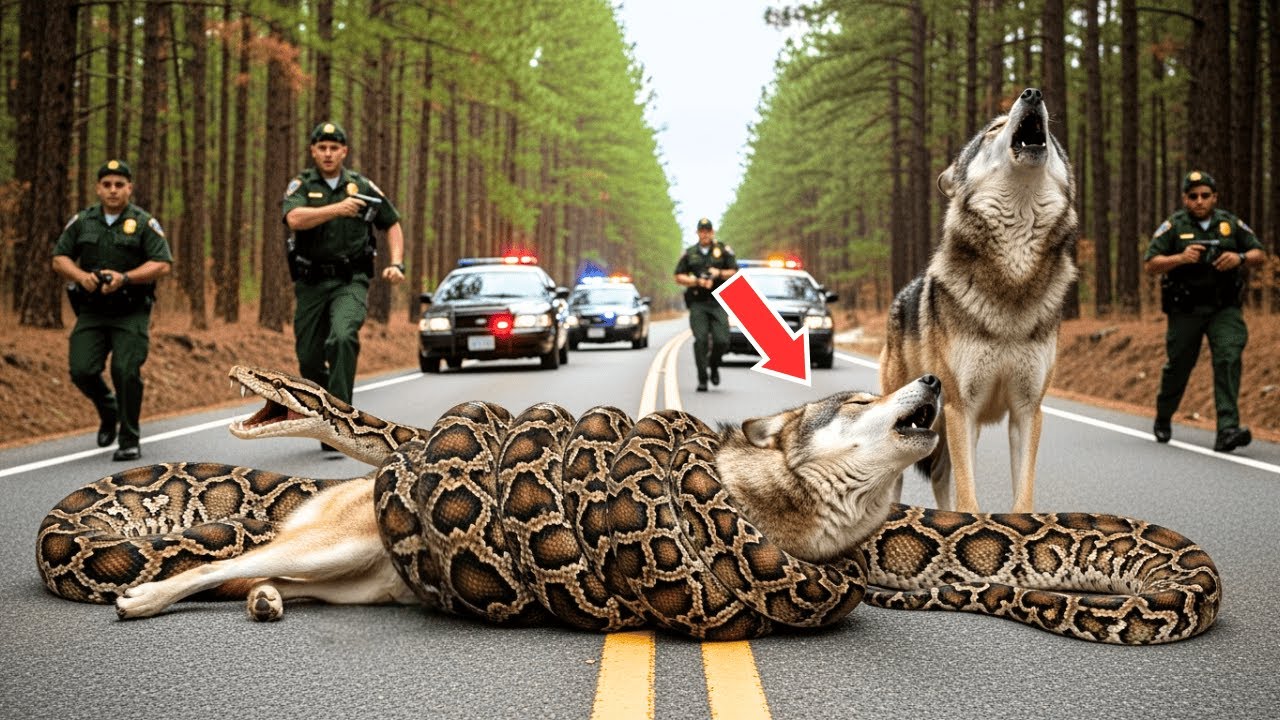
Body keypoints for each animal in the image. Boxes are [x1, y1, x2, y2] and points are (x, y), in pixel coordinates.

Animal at [113, 374, 942, 620]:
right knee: (222, 565)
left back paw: (251, 598)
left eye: (273, 382)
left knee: (250, 571)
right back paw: (148, 596)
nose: (239, 370)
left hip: (343, 571)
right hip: (336, 545)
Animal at [879, 87, 1077, 513]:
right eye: (993, 129)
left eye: (1052, 136)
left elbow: (1022, 497)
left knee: (941, 476)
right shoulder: (961, 410)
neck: (1013, 278)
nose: (1032, 93)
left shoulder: (1027, 411)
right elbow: (968, 498)